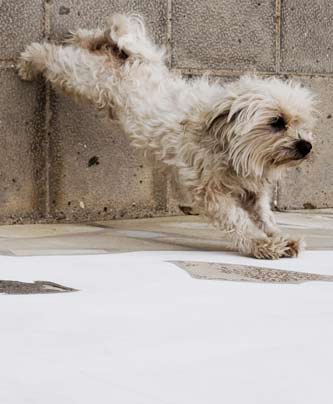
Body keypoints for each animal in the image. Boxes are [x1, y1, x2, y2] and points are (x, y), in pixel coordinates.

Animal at [16, 14, 318, 258]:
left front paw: (280, 238)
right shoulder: (210, 191)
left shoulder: (253, 192)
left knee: (99, 38)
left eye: (301, 123)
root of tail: (134, 58)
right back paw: (29, 62)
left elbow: (265, 217)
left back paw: (80, 36)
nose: (306, 145)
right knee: (53, 55)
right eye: (277, 122)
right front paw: (263, 245)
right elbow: (238, 221)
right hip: (84, 79)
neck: (230, 147)